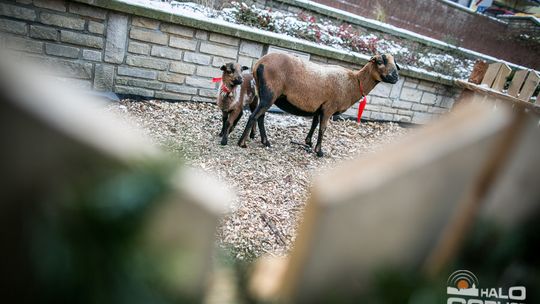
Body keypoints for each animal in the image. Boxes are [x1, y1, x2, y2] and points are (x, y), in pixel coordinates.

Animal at [237, 52, 400, 157]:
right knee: (254, 116)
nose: (395, 77)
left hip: (264, 94)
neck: (354, 82)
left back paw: (264, 141)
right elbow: (323, 128)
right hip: (270, 94)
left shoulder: (319, 107)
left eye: (395, 64)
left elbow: (314, 124)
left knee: (260, 116)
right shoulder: (329, 108)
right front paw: (319, 151)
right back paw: (242, 143)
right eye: (380, 62)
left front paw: (308, 142)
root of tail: (259, 64)